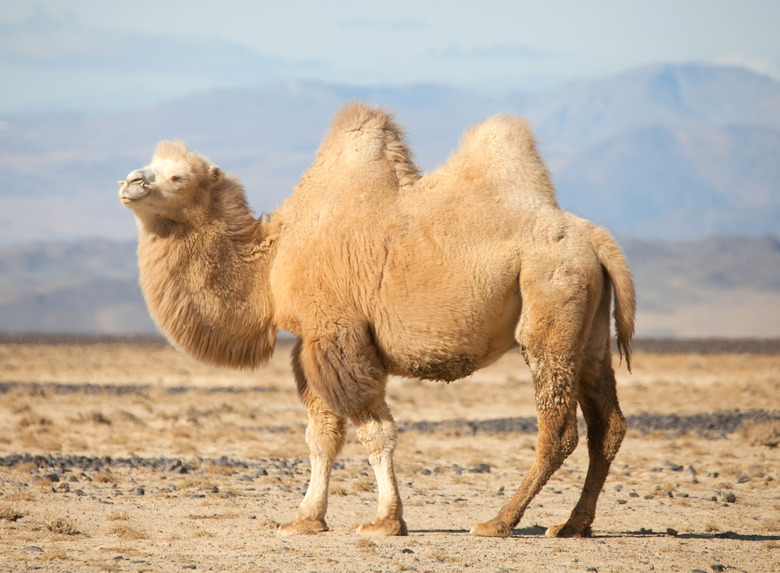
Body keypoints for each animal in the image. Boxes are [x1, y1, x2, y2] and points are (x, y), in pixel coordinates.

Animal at [120, 104, 632, 540]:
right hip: (589, 334)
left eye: (178, 175)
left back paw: (498, 522)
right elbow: (321, 436)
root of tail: (595, 239)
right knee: (608, 426)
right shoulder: (311, 342)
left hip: (549, 303)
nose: (130, 182)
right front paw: (305, 519)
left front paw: (386, 521)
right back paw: (572, 525)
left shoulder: (338, 333)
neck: (271, 262)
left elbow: (374, 432)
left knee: (558, 427)